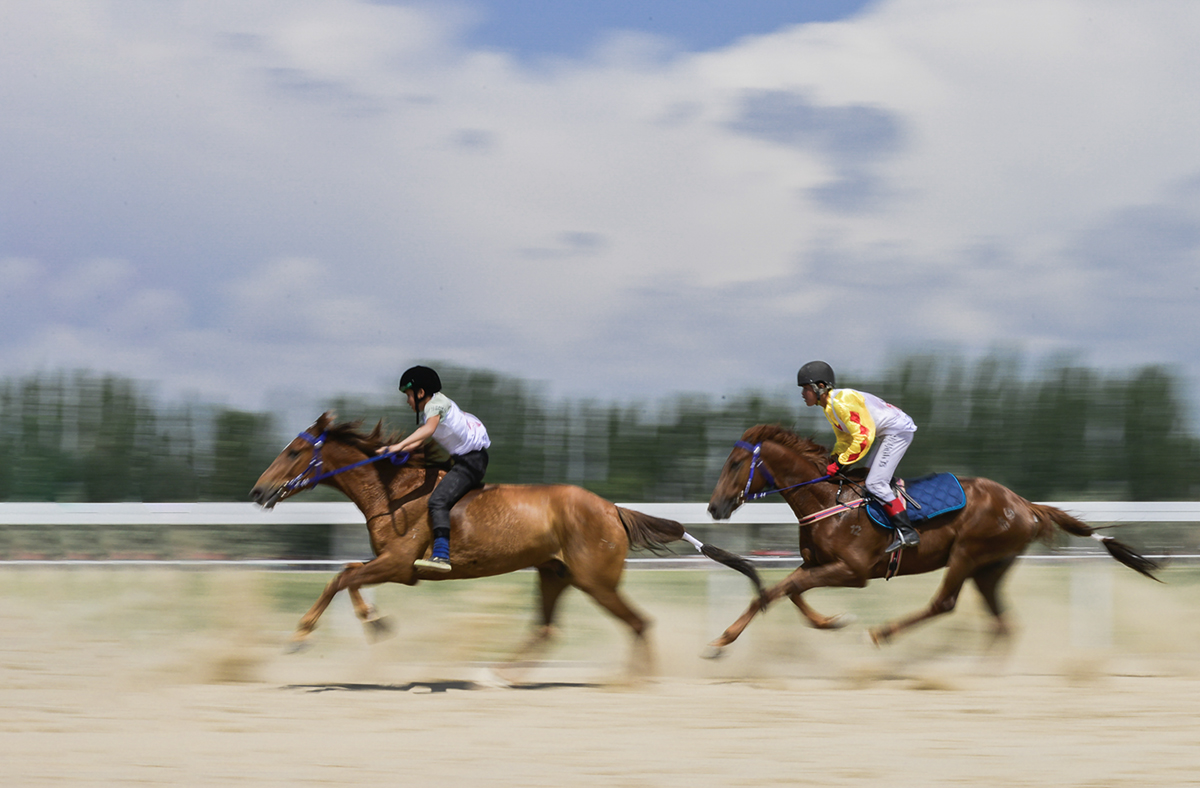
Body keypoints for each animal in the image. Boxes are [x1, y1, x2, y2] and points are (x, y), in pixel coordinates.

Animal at [250, 412, 764, 673]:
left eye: (295, 451)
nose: (257, 490)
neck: (395, 493)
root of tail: (613, 509)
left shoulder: (399, 564)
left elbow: (342, 577)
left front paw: (304, 635)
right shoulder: (393, 566)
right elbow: (348, 576)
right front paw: (372, 622)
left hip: (596, 581)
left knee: (638, 623)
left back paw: (634, 682)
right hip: (555, 574)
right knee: (547, 629)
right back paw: (500, 674)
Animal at [704, 424, 1161, 654]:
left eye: (736, 463)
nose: (714, 507)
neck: (827, 501)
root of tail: (1025, 505)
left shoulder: (853, 571)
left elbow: (775, 590)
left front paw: (721, 640)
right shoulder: (818, 564)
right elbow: (790, 590)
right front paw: (831, 621)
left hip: (969, 554)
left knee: (944, 603)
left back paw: (882, 634)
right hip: (990, 568)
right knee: (1003, 622)